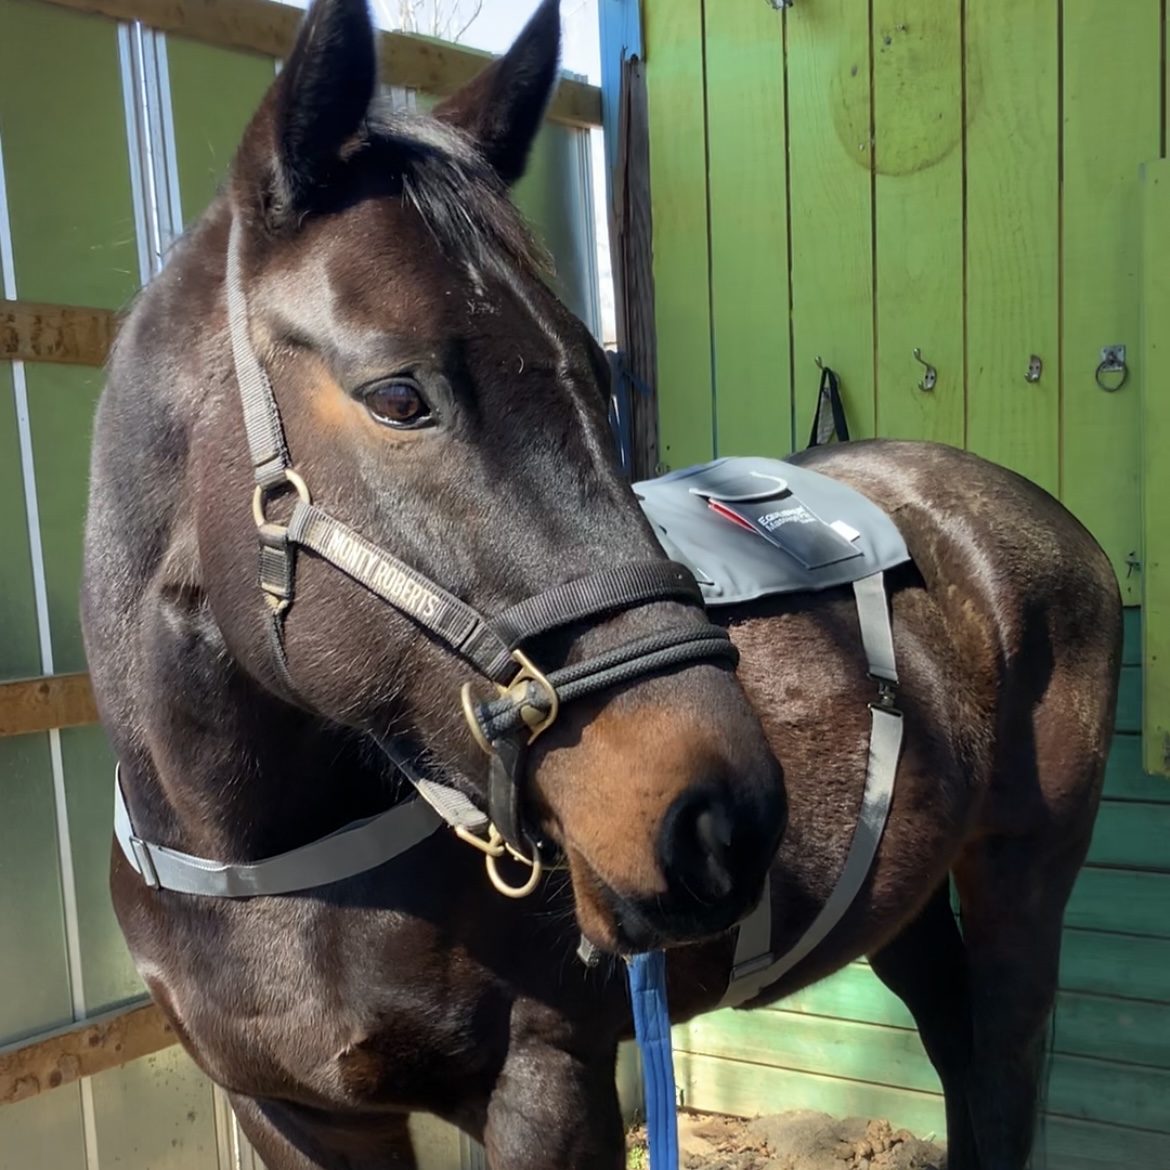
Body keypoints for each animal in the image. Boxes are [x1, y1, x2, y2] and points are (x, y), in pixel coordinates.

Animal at [77, 2, 1118, 1170]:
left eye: (597, 369)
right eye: (399, 396)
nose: (723, 815)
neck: (258, 869)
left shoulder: (546, 1081)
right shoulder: (295, 1116)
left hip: (1021, 879)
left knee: (1003, 1057)